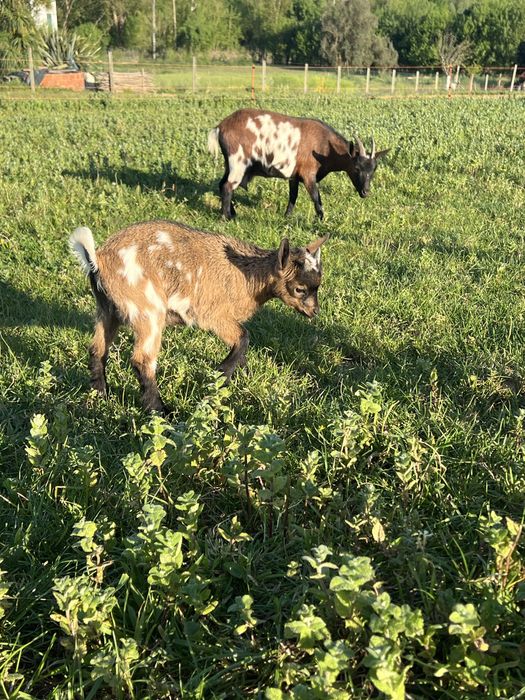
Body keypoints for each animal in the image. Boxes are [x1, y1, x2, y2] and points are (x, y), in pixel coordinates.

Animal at [70, 220, 329, 414]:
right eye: (299, 289)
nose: (314, 312)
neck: (247, 277)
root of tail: (97, 261)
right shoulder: (213, 315)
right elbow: (244, 337)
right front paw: (221, 374)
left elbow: (242, 346)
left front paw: (243, 375)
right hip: (148, 309)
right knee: (142, 360)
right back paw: (161, 411)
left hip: (107, 309)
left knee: (97, 349)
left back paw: (100, 395)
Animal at [208, 108, 389, 220]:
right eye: (356, 168)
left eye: (374, 169)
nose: (365, 192)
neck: (324, 146)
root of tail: (220, 127)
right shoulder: (308, 175)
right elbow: (316, 197)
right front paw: (321, 220)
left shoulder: (293, 175)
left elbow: (293, 196)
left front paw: (287, 217)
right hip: (238, 162)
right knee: (228, 186)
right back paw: (226, 217)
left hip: (230, 163)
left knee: (222, 184)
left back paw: (232, 213)